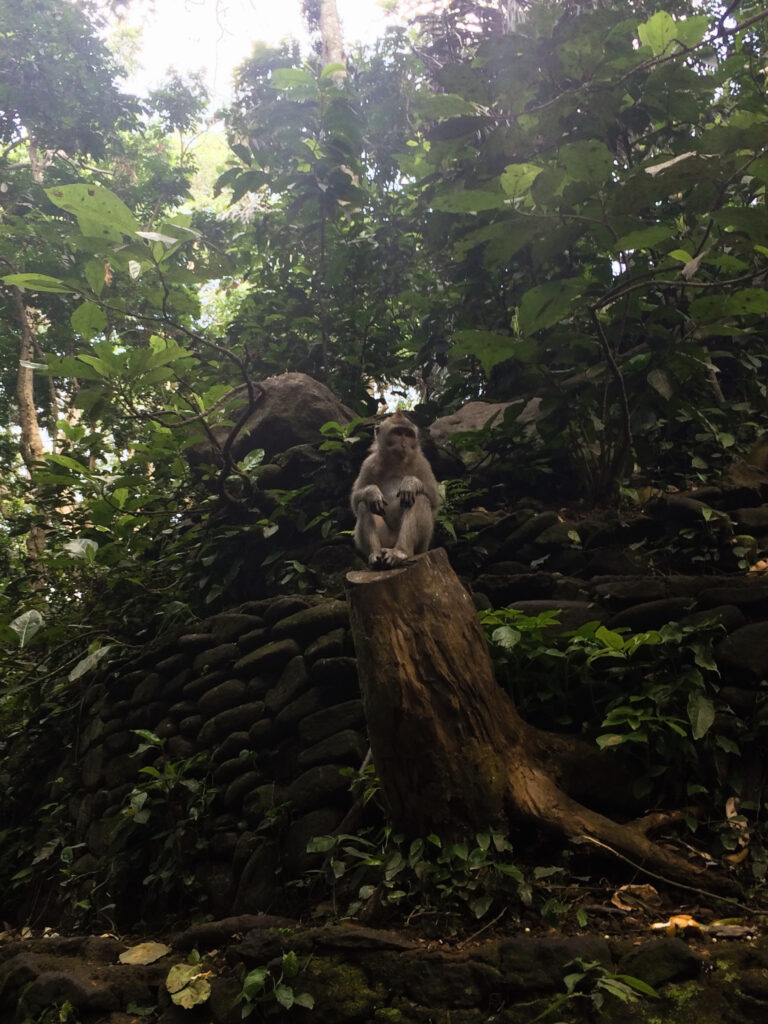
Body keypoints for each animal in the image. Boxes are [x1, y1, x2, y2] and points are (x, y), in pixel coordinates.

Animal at [350, 410, 441, 569]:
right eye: (398, 432)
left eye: (408, 434)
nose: (404, 444)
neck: (396, 462)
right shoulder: (368, 463)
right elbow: (356, 500)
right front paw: (371, 492)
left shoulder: (422, 462)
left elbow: (434, 498)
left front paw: (410, 483)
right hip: (386, 539)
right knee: (364, 505)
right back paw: (376, 554)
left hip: (423, 545)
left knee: (420, 498)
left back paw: (401, 552)